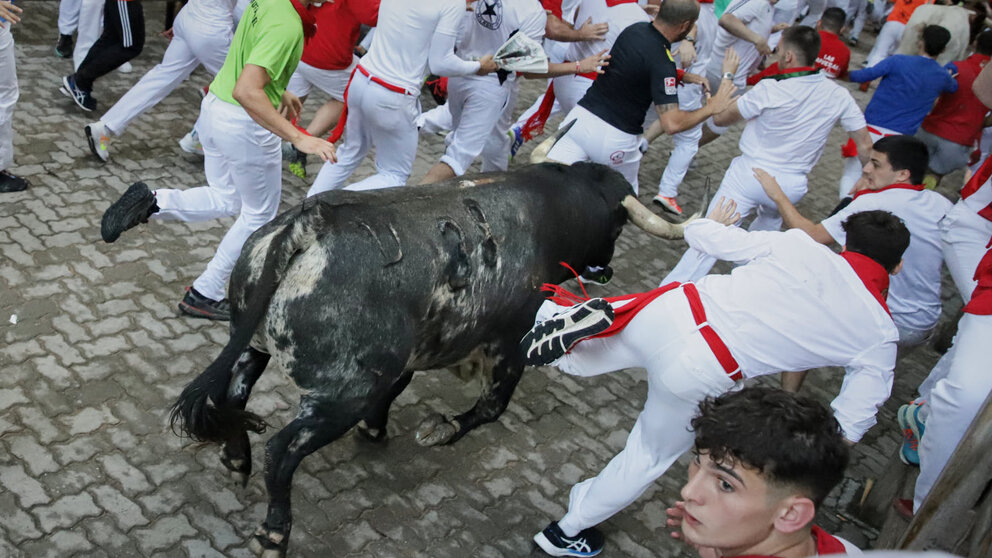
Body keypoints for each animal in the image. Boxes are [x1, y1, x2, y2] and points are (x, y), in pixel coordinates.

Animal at [170, 151, 692, 556]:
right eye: (618, 225)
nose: (608, 267)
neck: (547, 209)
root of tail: (309, 224)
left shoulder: (416, 350)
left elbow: (399, 388)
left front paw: (377, 429)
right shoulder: (509, 344)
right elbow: (492, 407)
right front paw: (440, 430)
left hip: (252, 345)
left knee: (234, 397)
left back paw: (237, 460)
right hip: (341, 394)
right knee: (282, 451)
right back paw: (274, 533)